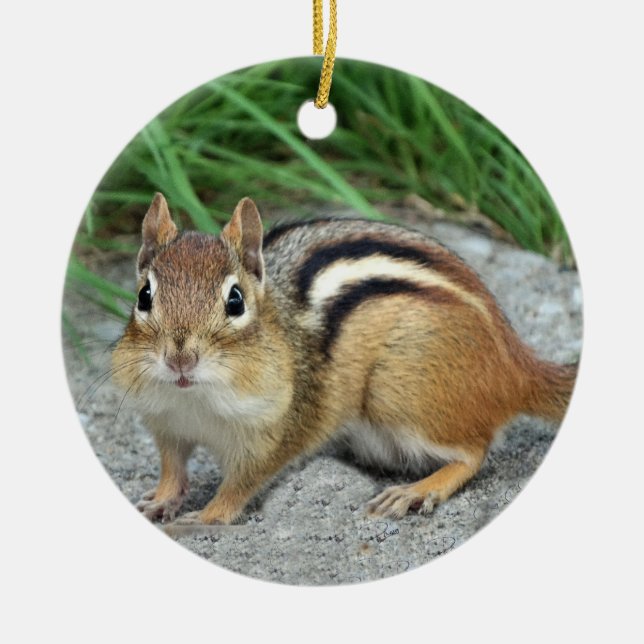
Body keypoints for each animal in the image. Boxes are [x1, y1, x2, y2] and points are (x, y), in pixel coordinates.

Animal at [111, 192, 578, 527]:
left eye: (235, 301)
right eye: (144, 295)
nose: (180, 358)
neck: (195, 400)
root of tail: (516, 362)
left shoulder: (276, 432)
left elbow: (240, 486)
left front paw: (205, 516)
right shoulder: (167, 424)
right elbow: (172, 470)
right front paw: (158, 503)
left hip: (398, 391)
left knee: (475, 452)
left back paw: (416, 491)